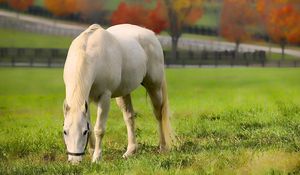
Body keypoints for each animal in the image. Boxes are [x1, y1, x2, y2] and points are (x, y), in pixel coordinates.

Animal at [62, 23, 173, 163]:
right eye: (65, 131)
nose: (74, 161)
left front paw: (96, 157)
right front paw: (92, 152)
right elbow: (91, 125)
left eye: (83, 132)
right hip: (124, 93)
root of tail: (151, 34)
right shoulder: (86, 99)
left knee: (159, 114)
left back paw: (163, 147)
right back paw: (130, 151)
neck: (88, 53)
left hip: (154, 87)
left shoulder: (104, 97)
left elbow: (99, 129)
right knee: (129, 117)